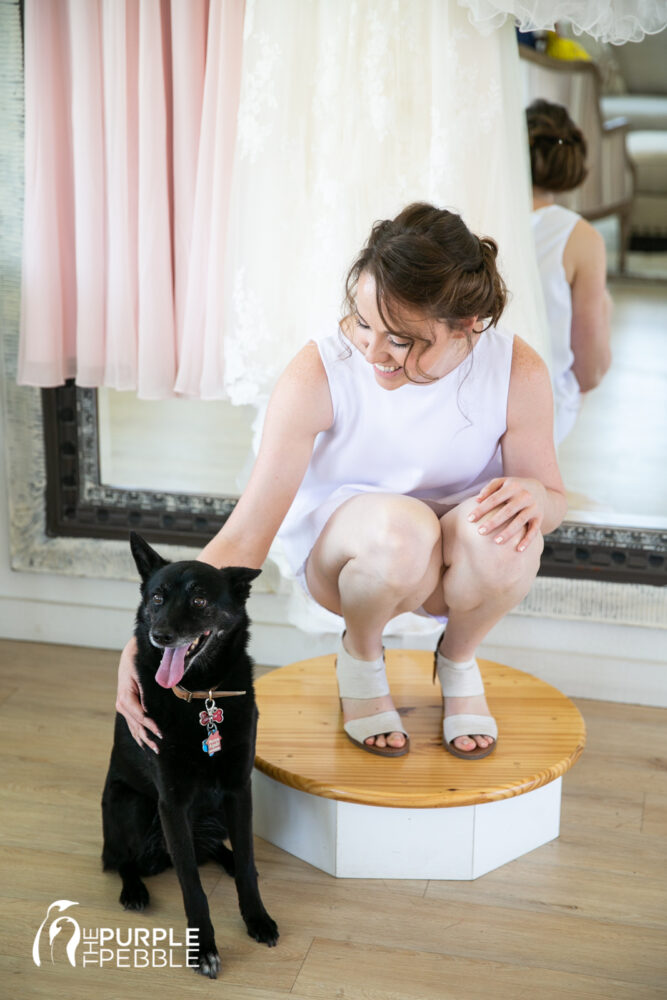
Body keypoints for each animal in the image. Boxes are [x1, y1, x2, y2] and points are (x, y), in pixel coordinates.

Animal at [101, 532, 276, 976]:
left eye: (199, 600)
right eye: (157, 597)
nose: (160, 635)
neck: (201, 695)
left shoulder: (238, 789)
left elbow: (246, 862)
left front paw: (257, 918)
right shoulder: (172, 803)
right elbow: (192, 885)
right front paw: (204, 950)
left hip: (217, 811)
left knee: (217, 849)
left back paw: (226, 859)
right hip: (131, 806)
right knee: (121, 858)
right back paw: (134, 890)